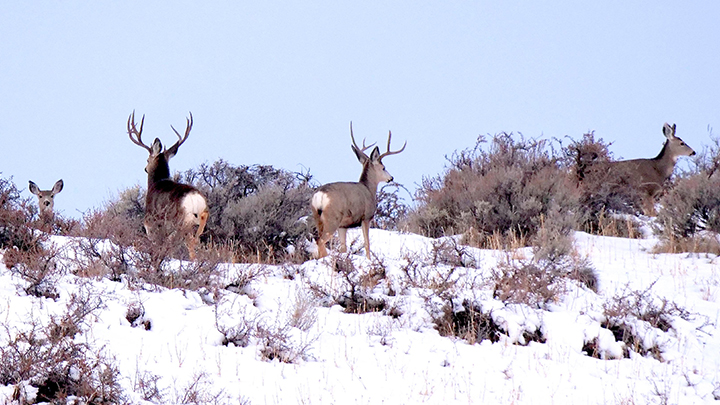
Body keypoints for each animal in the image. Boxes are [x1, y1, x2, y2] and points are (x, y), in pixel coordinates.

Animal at [126, 110, 208, 258]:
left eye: (147, 159)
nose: (145, 168)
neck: (156, 183)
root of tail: (194, 198)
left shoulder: (151, 222)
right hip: (202, 218)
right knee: (196, 240)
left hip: (182, 221)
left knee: (189, 242)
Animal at [312, 121, 408, 258]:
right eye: (384, 167)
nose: (391, 178)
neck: (368, 189)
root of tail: (320, 196)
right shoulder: (366, 217)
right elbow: (367, 244)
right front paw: (369, 260)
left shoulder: (343, 226)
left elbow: (343, 248)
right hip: (332, 219)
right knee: (320, 240)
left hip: (317, 218)